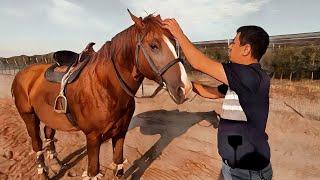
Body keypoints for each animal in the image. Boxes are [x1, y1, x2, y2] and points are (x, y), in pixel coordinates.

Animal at [11, 10, 192, 179]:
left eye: (174, 43)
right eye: (154, 45)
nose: (185, 88)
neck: (106, 87)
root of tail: (21, 74)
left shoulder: (121, 132)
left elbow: (118, 164)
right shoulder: (93, 138)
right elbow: (93, 171)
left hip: (50, 116)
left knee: (49, 132)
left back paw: (56, 163)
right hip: (29, 117)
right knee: (37, 144)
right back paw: (43, 172)